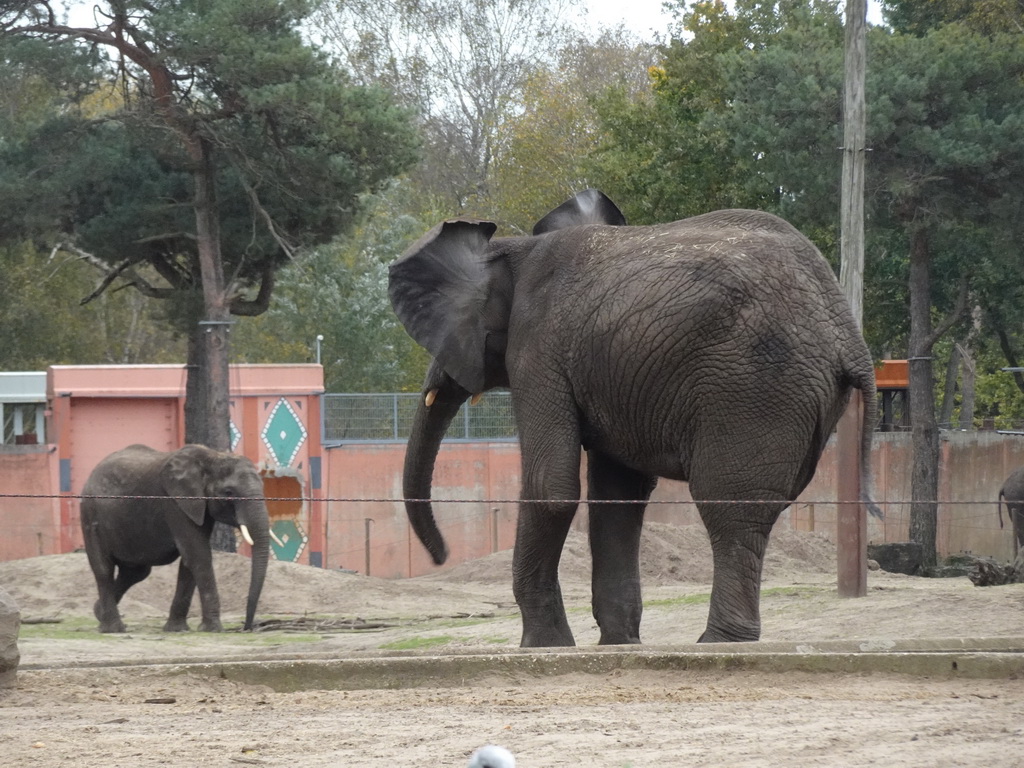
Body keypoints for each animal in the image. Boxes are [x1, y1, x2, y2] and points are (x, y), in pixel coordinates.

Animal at [80, 442, 270, 634]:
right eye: (229, 492)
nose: (247, 627)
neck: (213, 457)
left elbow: (189, 560)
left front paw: (176, 629)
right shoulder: (175, 502)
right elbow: (198, 555)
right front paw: (212, 629)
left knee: (136, 572)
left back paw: (99, 613)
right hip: (90, 516)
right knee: (104, 569)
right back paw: (113, 629)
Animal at [387, 189, 876, 647]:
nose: (441, 555)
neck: (514, 249)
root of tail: (848, 335)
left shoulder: (538, 348)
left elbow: (552, 487)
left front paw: (543, 646)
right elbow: (619, 494)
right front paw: (620, 642)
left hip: (754, 388)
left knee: (730, 509)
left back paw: (717, 642)